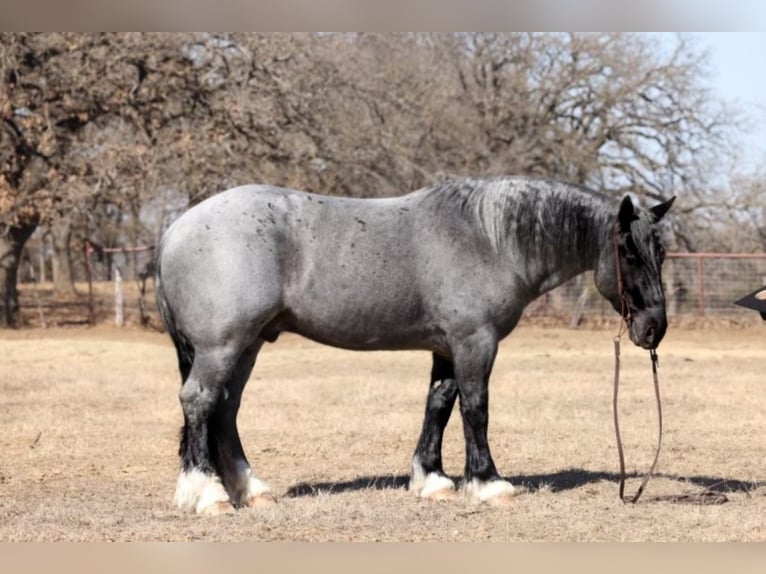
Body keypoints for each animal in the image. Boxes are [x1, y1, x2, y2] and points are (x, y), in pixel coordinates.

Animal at [153, 177, 676, 516]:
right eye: (628, 252)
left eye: (663, 252)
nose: (655, 329)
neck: (490, 239)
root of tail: (175, 229)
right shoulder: (474, 341)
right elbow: (476, 409)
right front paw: (488, 483)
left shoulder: (447, 346)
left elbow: (439, 405)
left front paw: (434, 480)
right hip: (222, 345)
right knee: (200, 402)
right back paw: (210, 495)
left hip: (247, 346)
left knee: (225, 410)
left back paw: (250, 490)